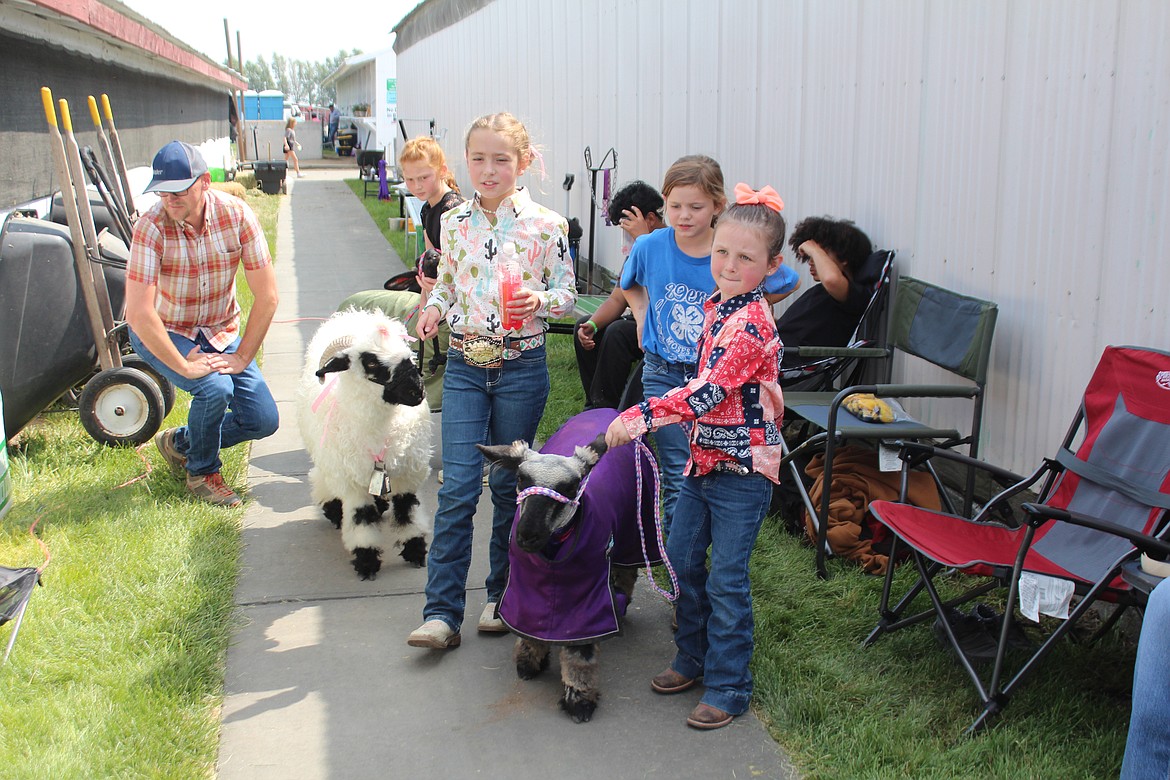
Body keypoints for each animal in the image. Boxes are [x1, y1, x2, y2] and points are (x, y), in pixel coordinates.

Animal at [296, 308, 432, 580]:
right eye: (370, 362)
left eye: (407, 355)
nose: (418, 391)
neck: (379, 430)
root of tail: (353, 314)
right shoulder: (351, 481)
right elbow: (362, 518)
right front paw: (366, 561)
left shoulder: (407, 473)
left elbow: (407, 511)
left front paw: (414, 550)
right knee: (323, 480)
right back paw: (334, 510)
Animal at [477, 407, 665, 723]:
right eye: (521, 478)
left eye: (570, 486)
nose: (527, 535)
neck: (552, 556)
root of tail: (610, 409)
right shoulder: (524, 582)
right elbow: (529, 622)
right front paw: (529, 660)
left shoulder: (585, 590)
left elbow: (580, 650)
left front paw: (579, 699)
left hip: (637, 527)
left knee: (626, 569)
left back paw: (620, 599)